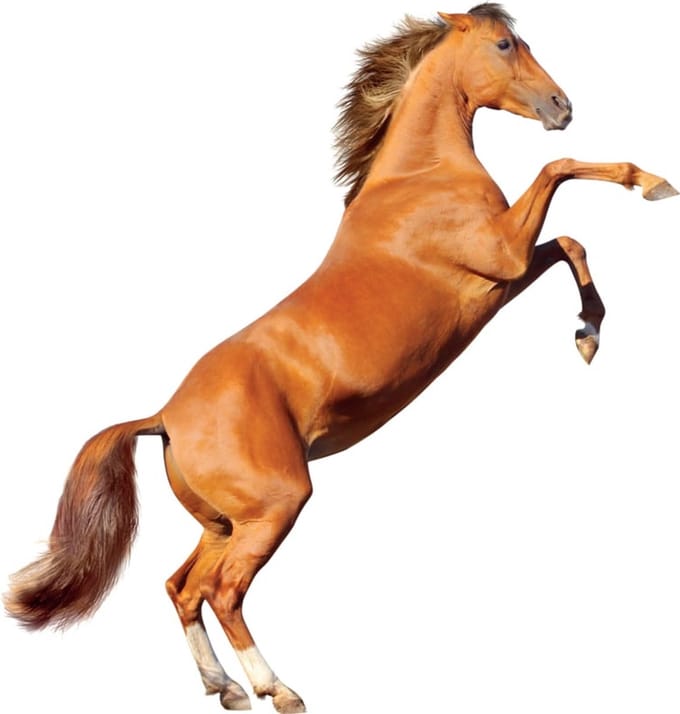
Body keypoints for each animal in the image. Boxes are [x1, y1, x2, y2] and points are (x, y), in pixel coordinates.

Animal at [5, 4, 677, 713]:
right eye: (503, 44)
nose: (561, 106)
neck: (419, 179)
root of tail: (162, 416)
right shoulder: (504, 253)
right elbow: (561, 171)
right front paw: (653, 185)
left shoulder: (506, 277)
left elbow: (570, 242)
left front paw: (588, 334)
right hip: (275, 506)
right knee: (223, 591)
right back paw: (278, 689)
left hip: (224, 523)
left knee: (181, 586)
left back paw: (225, 688)